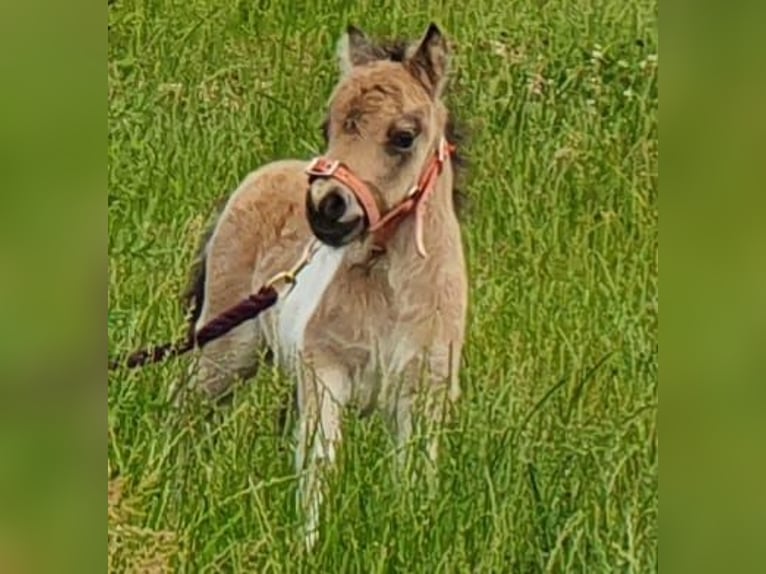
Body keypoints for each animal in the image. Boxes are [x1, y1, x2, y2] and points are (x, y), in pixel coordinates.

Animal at [188, 24, 472, 552]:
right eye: (329, 127)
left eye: (404, 136)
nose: (325, 208)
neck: (391, 294)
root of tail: (266, 173)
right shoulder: (326, 371)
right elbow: (320, 463)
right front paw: (306, 547)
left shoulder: (425, 392)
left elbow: (415, 476)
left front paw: (410, 537)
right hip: (226, 347)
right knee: (190, 409)